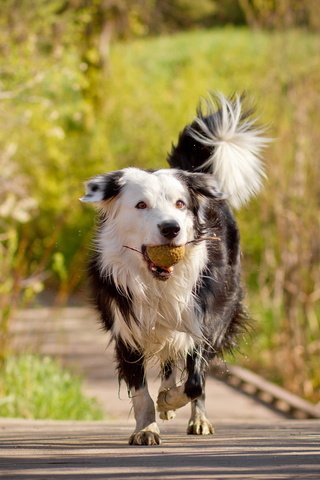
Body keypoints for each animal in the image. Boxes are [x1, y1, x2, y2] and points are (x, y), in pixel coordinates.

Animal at [80, 94, 268, 446]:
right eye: (141, 205)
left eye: (180, 204)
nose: (171, 228)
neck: (158, 282)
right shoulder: (126, 326)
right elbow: (141, 390)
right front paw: (146, 428)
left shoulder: (205, 319)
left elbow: (196, 380)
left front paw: (170, 402)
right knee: (169, 361)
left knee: (192, 370)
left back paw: (197, 418)